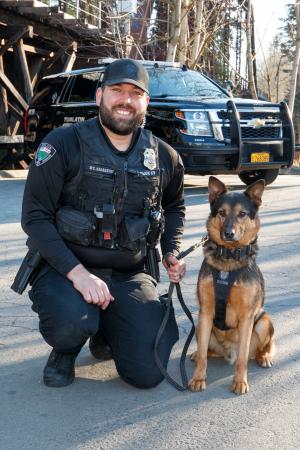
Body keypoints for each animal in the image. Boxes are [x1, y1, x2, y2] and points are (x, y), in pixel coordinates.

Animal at [189, 176, 276, 394]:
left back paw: (263, 357)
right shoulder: (205, 311)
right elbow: (202, 356)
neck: (228, 258)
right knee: (206, 350)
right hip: (200, 325)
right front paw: (198, 378)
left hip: (264, 320)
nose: (229, 233)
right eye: (221, 212)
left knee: (259, 349)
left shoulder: (247, 317)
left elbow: (243, 358)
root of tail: (229, 352)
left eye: (242, 214)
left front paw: (240, 381)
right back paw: (197, 354)